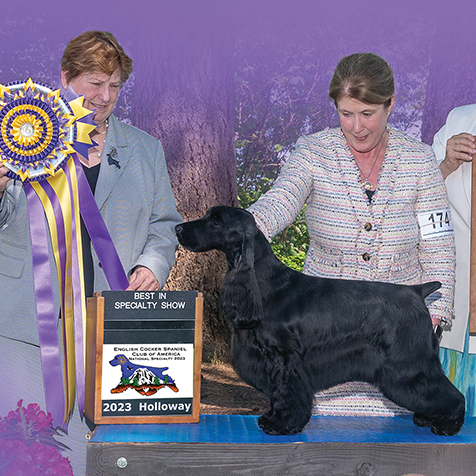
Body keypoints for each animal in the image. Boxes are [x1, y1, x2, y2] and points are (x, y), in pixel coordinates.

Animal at [175, 206, 465, 436]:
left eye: (216, 220)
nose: (178, 227)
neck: (263, 281)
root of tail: (418, 291)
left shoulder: (284, 357)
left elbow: (286, 392)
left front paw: (281, 424)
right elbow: (278, 393)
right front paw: (273, 418)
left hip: (407, 365)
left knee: (451, 394)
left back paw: (447, 424)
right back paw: (429, 418)